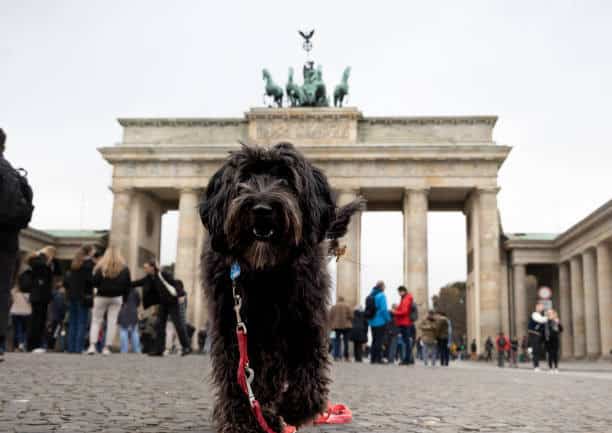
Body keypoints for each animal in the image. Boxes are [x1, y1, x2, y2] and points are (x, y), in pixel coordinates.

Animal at [201, 143, 364, 432]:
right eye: (244, 178)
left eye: (286, 179)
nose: (262, 208)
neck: (266, 274)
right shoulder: (232, 324)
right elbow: (236, 374)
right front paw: (241, 422)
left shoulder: (305, 319)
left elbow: (310, 364)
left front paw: (297, 408)